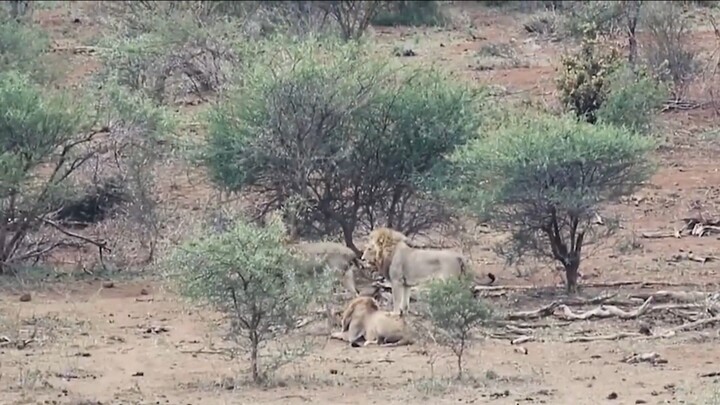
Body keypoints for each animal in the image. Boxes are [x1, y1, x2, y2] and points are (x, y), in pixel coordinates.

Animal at [361, 227, 496, 314]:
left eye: (369, 248)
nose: (361, 258)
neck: (389, 252)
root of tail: (459, 256)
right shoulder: (406, 283)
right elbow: (405, 301)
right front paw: (403, 313)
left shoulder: (396, 281)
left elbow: (396, 299)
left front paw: (394, 314)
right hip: (459, 281)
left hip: (450, 281)